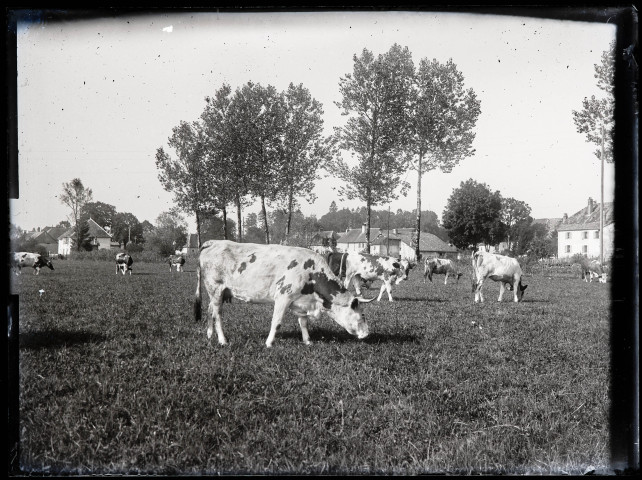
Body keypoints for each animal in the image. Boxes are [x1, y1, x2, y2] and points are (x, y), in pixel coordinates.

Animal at [196, 240, 376, 348]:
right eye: (363, 315)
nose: (367, 334)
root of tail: (214, 242)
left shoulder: (301, 302)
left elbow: (303, 322)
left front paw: (307, 341)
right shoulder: (283, 297)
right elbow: (276, 322)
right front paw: (269, 343)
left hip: (216, 293)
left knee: (210, 310)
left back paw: (209, 335)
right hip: (215, 289)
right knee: (217, 315)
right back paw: (222, 340)